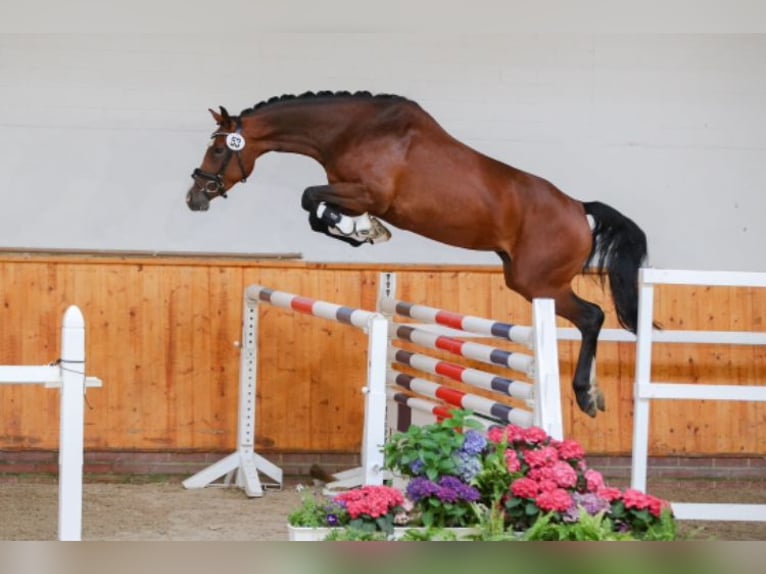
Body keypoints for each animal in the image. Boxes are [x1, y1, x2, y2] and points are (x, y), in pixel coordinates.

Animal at [186, 92, 648, 420]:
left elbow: (310, 198)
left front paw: (362, 231)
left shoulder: (366, 193)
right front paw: (361, 231)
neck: (351, 131)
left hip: (540, 283)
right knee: (589, 318)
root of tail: (578, 208)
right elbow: (314, 207)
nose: (195, 198)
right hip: (526, 280)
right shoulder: (351, 192)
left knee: (592, 317)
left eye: (217, 151)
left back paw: (586, 395)